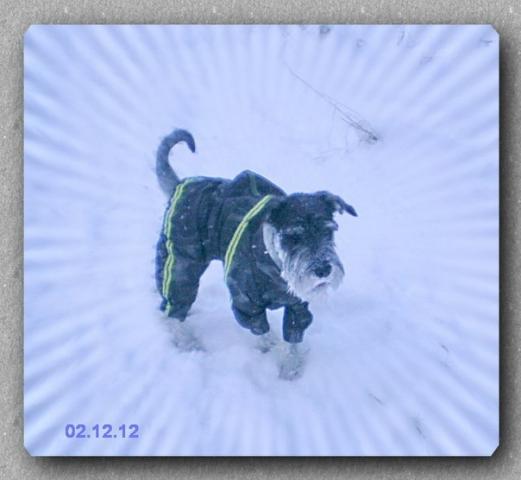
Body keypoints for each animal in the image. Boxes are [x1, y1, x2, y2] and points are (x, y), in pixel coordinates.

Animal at [155, 129, 357, 379]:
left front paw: (290, 369)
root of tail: (180, 184)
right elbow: (261, 330)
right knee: (174, 304)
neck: (276, 266)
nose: (323, 269)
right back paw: (187, 342)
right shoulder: (246, 303)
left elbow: (293, 338)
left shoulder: (297, 306)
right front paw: (271, 349)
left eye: (328, 231)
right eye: (293, 236)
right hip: (182, 261)